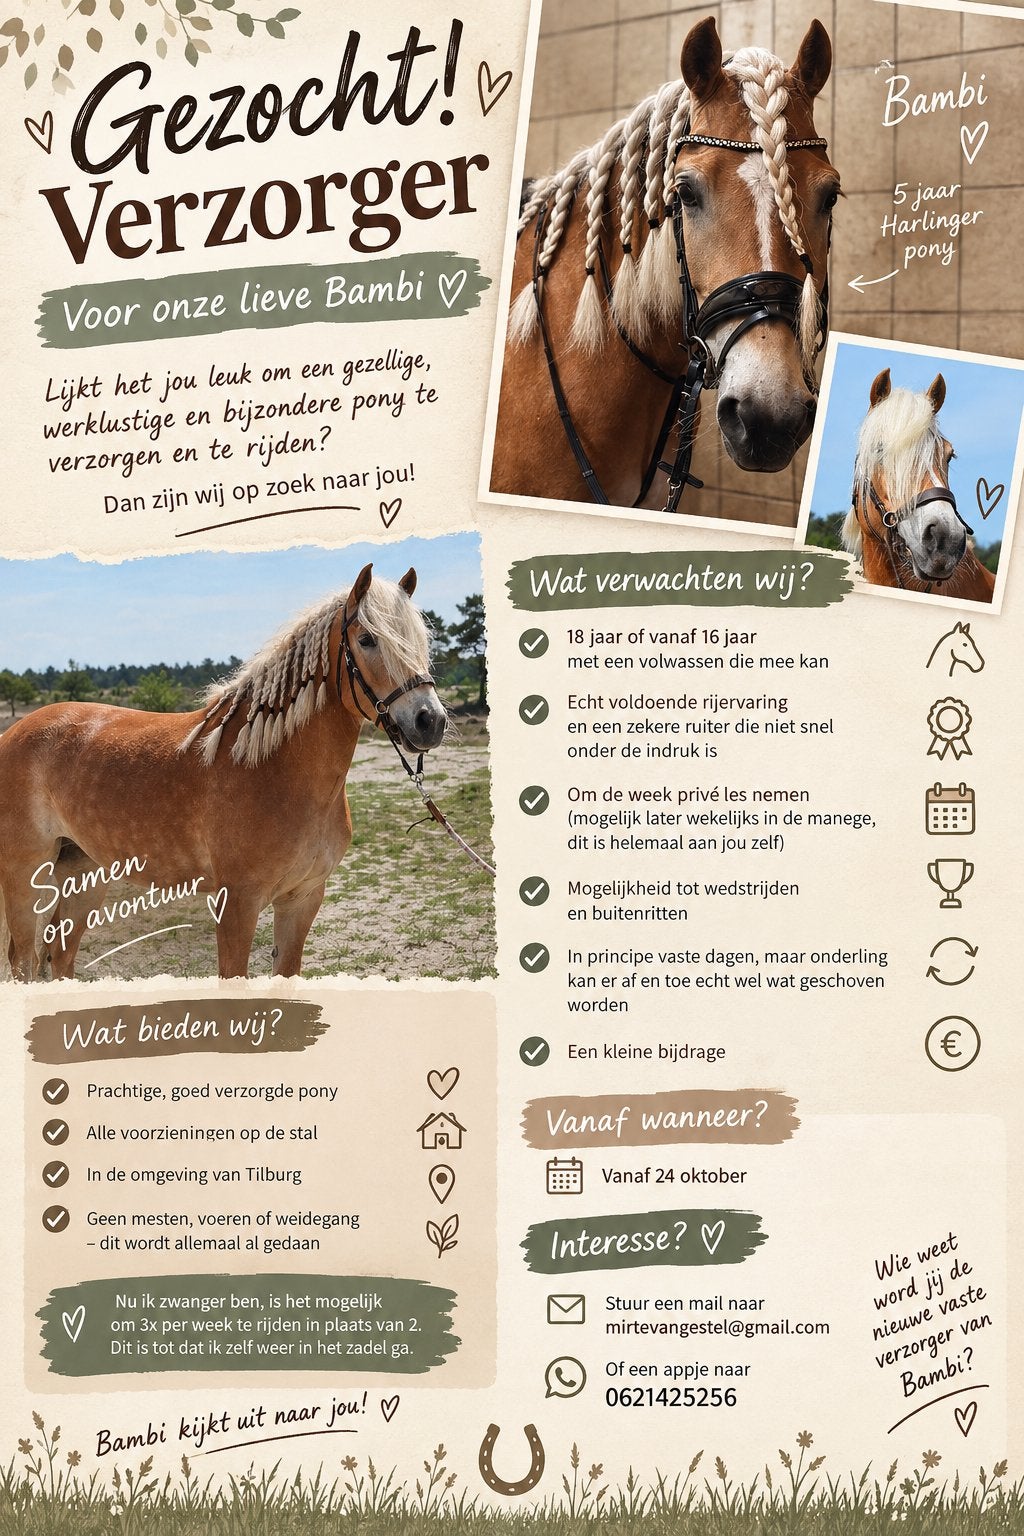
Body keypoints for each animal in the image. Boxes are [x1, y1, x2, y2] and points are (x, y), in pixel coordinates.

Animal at [0, 565, 447, 981]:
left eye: (421, 640)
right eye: (367, 639)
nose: (431, 721)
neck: (276, 769)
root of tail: (15, 731)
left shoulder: (302, 899)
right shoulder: (237, 904)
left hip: (85, 872)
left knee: (60, 956)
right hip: (26, 876)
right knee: (24, 961)